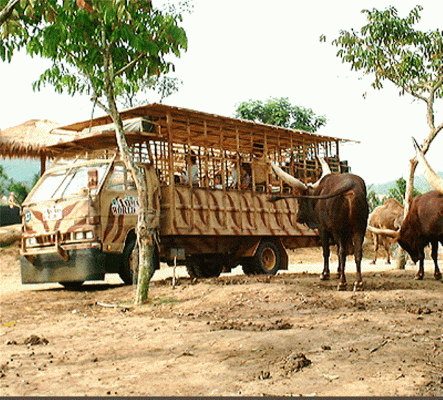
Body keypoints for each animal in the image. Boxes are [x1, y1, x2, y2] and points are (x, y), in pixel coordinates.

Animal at [270, 157, 372, 290]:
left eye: (299, 201)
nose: (297, 218)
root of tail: (351, 187)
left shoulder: (323, 229)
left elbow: (326, 251)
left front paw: (325, 274)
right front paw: (338, 272)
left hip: (339, 230)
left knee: (342, 252)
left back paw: (342, 283)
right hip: (359, 229)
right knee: (357, 252)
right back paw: (358, 283)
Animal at [370, 139, 443, 280]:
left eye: (406, 241)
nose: (414, 258)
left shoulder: (433, 236)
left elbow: (432, 254)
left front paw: (435, 274)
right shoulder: (430, 237)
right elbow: (427, 254)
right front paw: (421, 273)